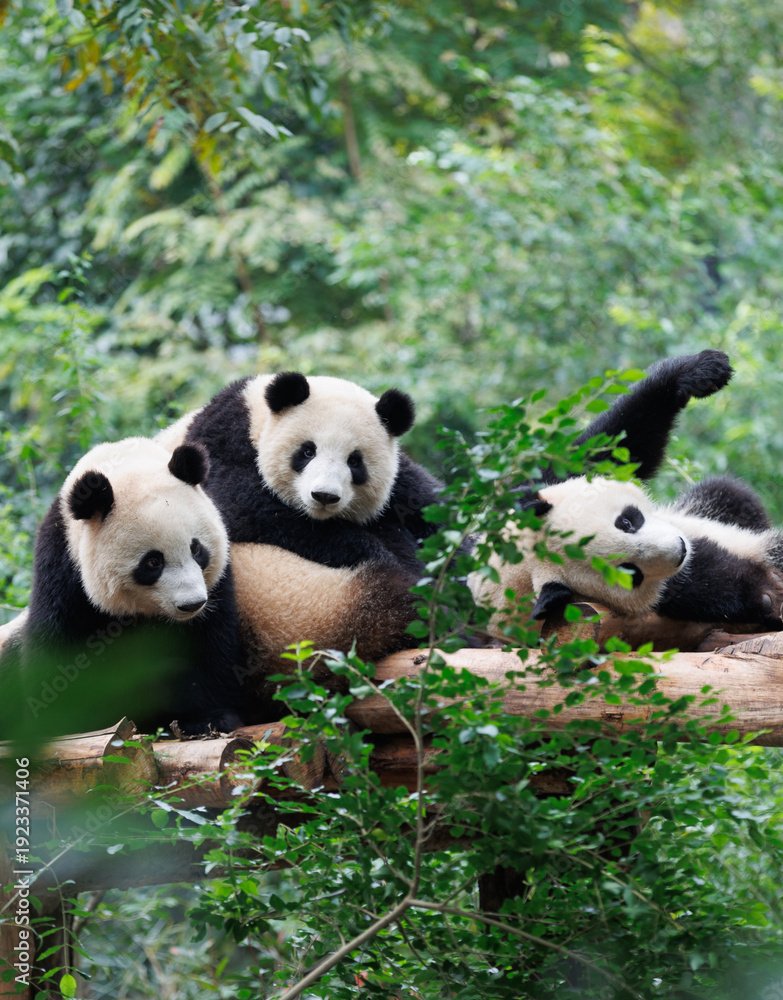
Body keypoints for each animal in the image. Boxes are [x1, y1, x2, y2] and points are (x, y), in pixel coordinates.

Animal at [2, 437, 247, 736]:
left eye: (196, 549)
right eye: (153, 562)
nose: (191, 604)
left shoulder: (216, 587)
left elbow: (211, 644)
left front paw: (209, 718)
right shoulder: (64, 570)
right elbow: (58, 649)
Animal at [156, 372, 443, 698]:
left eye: (355, 461)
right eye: (308, 451)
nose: (324, 496)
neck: (255, 412)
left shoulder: (402, 484)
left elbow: (426, 505)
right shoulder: (218, 445)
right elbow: (244, 506)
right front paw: (379, 553)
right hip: (300, 609)